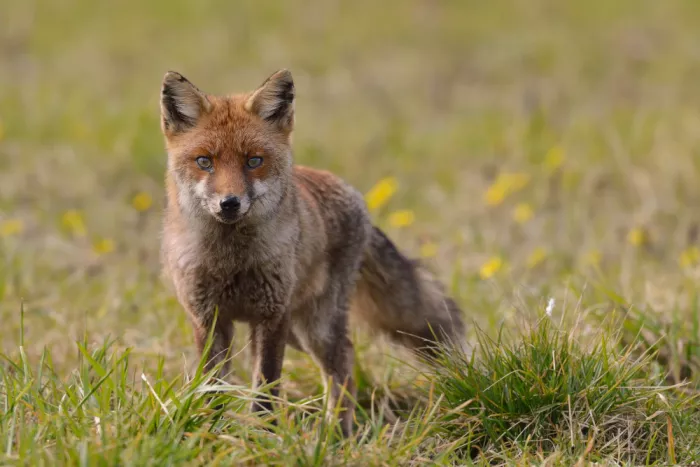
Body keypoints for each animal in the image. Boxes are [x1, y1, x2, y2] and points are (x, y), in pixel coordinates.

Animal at [159, 69, 465, 436]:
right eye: (204, 161)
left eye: (254, 161)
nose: (229, 203)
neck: (230, 261)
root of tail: (353, 194)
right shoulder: (208, 318)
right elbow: (213, 385)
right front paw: (210, 432)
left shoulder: (271, 317)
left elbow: (266, 387)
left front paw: (262, 435)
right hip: (296, 331)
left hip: (314, 327)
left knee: (343, 360)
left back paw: (338, 432)